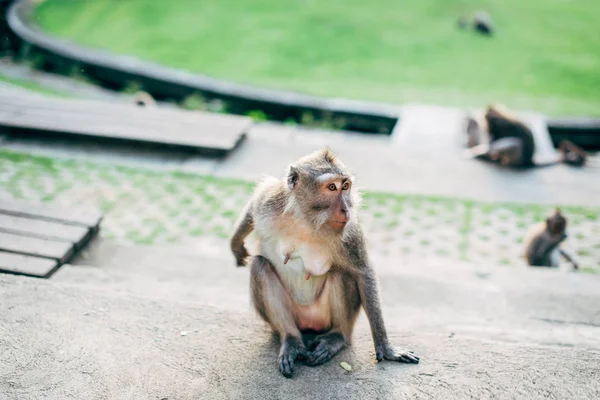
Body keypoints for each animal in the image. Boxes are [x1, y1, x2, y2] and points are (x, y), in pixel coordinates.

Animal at [227, 149, 420, 378]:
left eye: (345, 187)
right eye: (331, 187)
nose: (345, 209)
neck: (306, 220)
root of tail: (309, 325)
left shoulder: (349, 233)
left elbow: (363, 273)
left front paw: (387, 348)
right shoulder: (270, 203)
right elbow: (253, 207)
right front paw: (236, 243)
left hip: (326, 317)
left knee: (340, 273)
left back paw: (336, 337)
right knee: (260, 266)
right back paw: (291, 340)